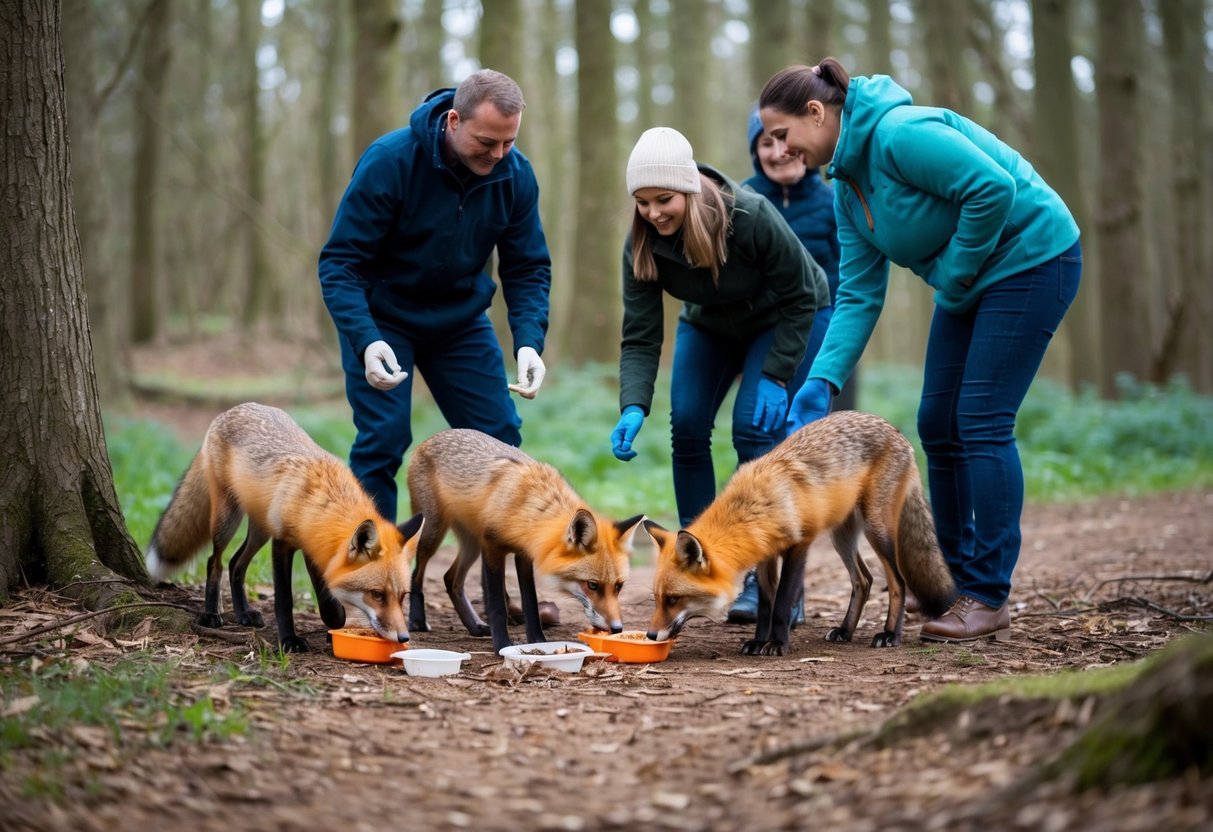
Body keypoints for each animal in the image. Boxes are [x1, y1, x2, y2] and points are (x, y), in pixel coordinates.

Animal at [145, 402, 423, 653]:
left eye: (402, 596)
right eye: (377, 594)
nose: (403, 637)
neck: (323, 501)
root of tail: (234, 408)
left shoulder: (313, 546)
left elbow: (325, 593)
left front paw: (334, 618)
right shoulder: (282, 543)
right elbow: (284, 599)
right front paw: (290, 640)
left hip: (260, 530)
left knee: (236, 563)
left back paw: (243, 613)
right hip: (228, 519)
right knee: (215, 562)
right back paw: (212, 613)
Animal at [406, 428, 645, 652]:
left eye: (619, 586)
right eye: (593, 585)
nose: (616, 628)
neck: (531, 508)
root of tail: (433, 437)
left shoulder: (524, 555)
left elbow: (531, 603)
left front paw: (538, 641)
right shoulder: (492, 547)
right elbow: (498, 606)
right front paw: (502, 645)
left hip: (471, 544)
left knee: (450, 579)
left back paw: (474, 627)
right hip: (433, 533)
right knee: (417, 573)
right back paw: (417, 621)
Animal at [645, 410, 956, 655]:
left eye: (674, 599)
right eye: (657, 599)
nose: (650, 635)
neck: (758, 504)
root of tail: (896, 431)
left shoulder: (800, 546)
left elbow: (783, 603)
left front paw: (777, 644)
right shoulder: (765, 554)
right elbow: (766, 606)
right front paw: (759, 642)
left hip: (875, 529)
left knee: (898, 581)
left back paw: (890, 634)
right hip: (841, 536)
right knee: (864, 580)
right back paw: (845, 631)